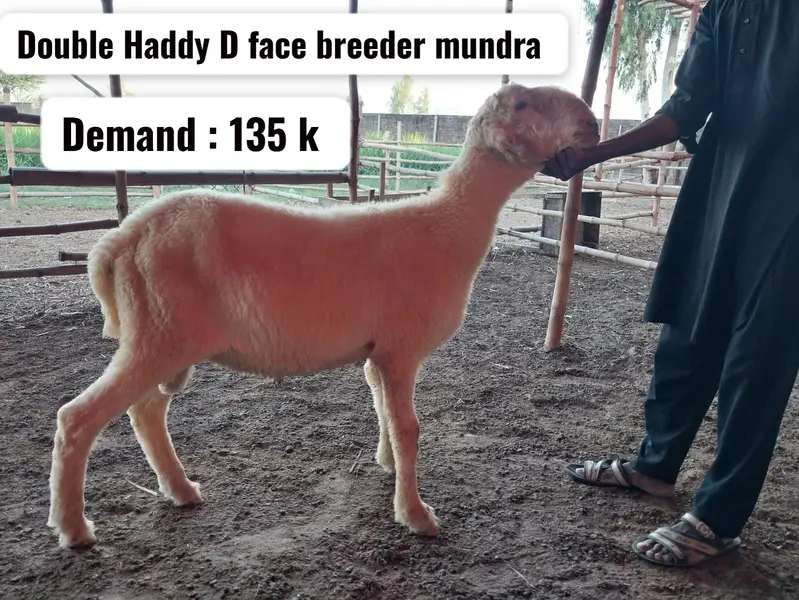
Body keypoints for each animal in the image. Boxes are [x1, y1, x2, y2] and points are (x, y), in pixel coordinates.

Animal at [47, 83, 600, 549]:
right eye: (525, 104)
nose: (592, 123)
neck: (447, 225)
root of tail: (120, 239)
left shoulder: (378, 353)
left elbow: (383, 411)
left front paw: (386, 466)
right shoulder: (401, 348)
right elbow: (409, 428)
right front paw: (415, 514)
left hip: (166, 340)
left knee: (145, 412)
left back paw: (180, 490)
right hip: (158, 333)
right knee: (79, 417)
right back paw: (74, 529)